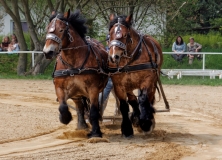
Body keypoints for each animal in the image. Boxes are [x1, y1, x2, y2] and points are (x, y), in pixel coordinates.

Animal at [42, 9, 108, 138]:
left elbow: (93, 110)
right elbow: (63, 106)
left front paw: (96, 133)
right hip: (76, 92)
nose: (48, 52)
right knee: (79, 106)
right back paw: (81, 125)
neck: (73, 63)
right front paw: (65, 118)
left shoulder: (93, 89)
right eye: (47, 29)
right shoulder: (60, 87)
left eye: (61, 30)